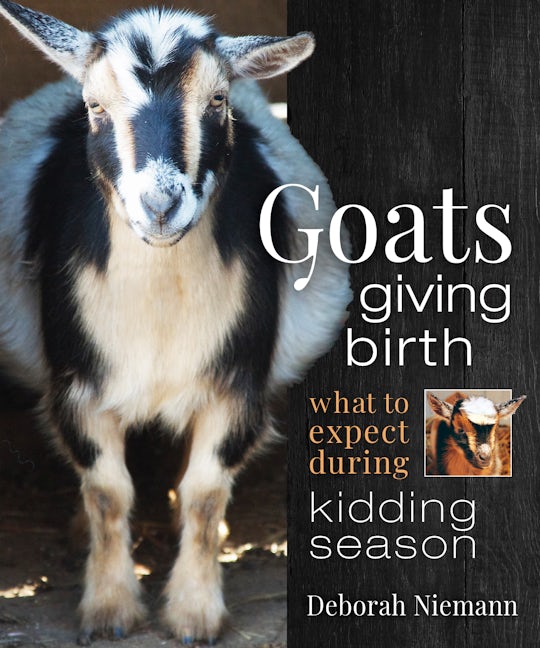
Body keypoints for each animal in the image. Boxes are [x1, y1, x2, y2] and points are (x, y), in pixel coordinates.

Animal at [0, 1, 352, 644]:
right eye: (94, 106)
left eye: (217, 100)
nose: (161, 206)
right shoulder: (76, 383)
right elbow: (108, 492)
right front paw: (109, 610)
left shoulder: (236, 382)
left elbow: (204, 494)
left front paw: (194, 613)